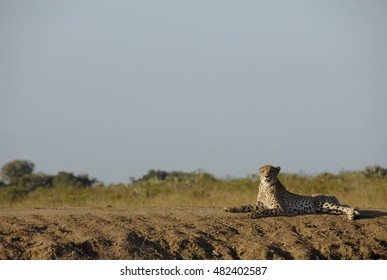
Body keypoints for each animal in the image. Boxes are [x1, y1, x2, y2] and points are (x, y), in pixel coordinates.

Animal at [224, 165, 360, 220]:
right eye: (263, 171)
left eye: (271, 171)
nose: (267, 176)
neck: (265, 186)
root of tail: (332, 195)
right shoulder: (260, 204)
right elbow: (245, 206)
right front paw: (231, 208)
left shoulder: (280, 208)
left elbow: (264, 211)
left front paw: (253, 214)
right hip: (325, 209)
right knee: (341, 208)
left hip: (321, 203)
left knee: (346, 207)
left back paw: (351, 215)